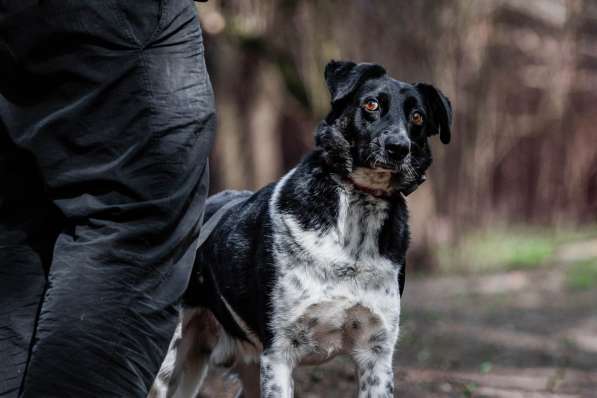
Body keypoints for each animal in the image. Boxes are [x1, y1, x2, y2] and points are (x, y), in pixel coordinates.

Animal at [150, 59, 452, 398]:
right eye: (371, 104)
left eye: (417, 117)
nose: (398, 147)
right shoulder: (279, 353)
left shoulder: (376, 354)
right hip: (169, 363)